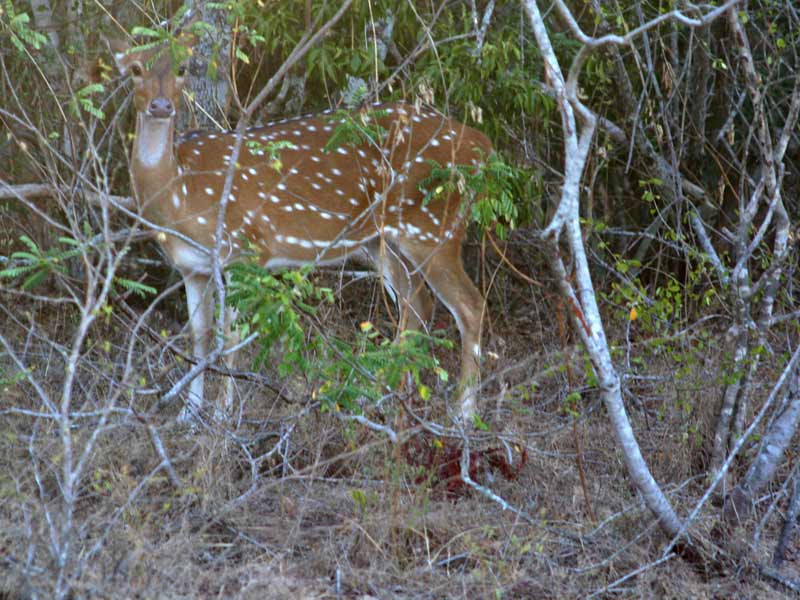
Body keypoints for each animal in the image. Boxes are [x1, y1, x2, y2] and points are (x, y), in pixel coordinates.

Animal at [110, 32, 491, 425]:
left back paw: (463, 414)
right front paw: (188, 413)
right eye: (135, 69)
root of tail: (483, 145)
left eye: (182, 67)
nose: (160, 106)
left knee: (470, 304)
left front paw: (223, 414)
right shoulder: (192, 266)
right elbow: (199, 336)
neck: (180, 194)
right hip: (380, 240)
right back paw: (380, 397)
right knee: (416, 303)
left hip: (434, 227)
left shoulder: (246, 248)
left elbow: (229, 336)